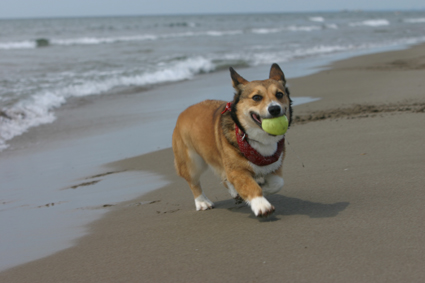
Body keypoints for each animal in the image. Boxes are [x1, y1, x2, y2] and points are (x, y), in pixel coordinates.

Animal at [171, 63, 290, 217]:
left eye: (280, 94)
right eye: (256, 97)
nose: (275, 109)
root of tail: (183, 113)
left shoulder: (275, 166)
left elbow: (277, 183)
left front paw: (262, 189)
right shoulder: (237, 171)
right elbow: (251, 186)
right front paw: (261, 204)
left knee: (223, 177)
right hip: (192, 163)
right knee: (193, 182)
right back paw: (202, 202)